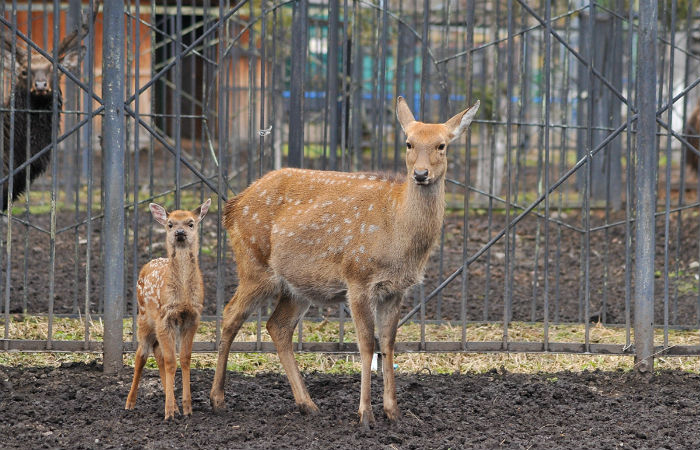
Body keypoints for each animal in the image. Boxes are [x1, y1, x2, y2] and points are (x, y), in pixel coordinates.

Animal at [211, 95, 478, 426]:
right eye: (409, 143)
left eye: (442, 145)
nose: (420, 174)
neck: (398, 235)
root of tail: (232, 207)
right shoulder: (358, 277)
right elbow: (366, 344)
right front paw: (366, 413)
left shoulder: (396, 289)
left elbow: (388, 343)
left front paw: (393, 411)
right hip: (253, 264)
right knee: (230, 314)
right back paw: (217, 399)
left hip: (297, 286)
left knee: (278, 326)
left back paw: (308, 404)